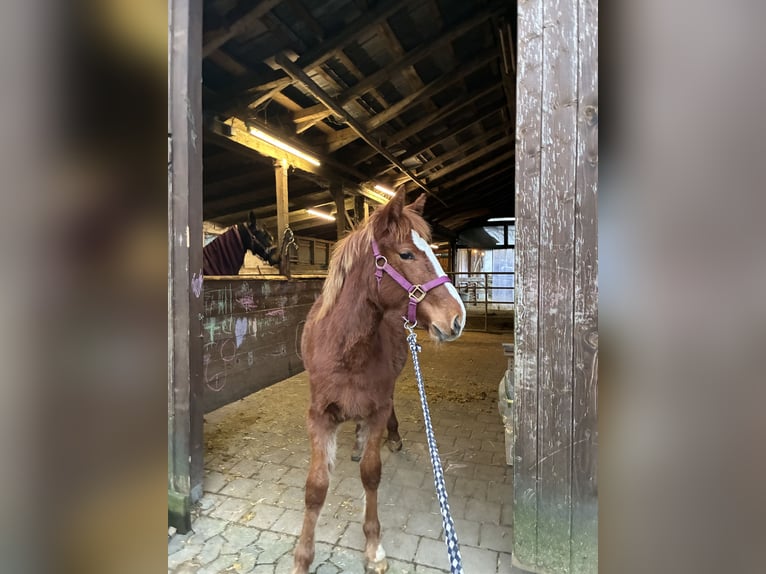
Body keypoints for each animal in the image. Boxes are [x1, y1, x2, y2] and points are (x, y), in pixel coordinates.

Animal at [292, 189, 466, 574]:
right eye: (406, 254)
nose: (457, 318)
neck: (345, 351)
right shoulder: (318, 416)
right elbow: (315, 487)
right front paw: (302, 558)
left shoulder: (376, 409)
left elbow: (371, 475)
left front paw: (373, 549)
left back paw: (392, 437)